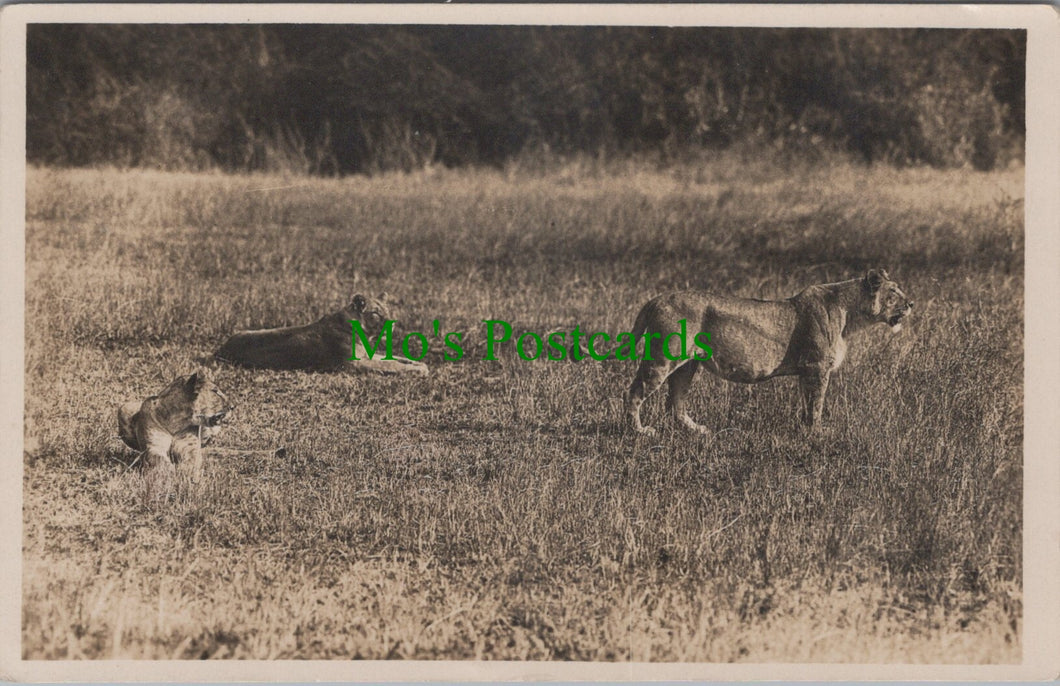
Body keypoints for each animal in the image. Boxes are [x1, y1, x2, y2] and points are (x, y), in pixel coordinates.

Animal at [214, 293, 427, 375]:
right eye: (376, 313)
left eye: (388, 310)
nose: (393, 324)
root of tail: (221, 349)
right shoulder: (353, 364)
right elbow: (390, 365)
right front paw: (418, 370)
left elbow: (395, 358)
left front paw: (419, 364)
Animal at [625, 269, 913, 435]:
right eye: (894, 292)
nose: (911, 303)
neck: (850, 315)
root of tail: (657, 299)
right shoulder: (817, 366)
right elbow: (817, 403)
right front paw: (818, 434)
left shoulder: (806, 371)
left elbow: (807, 402)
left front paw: (804, 429)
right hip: (663, 358)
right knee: (634, 391)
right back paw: (639, 431)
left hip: (687, 364)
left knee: (675, 400)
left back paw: (697, 430)